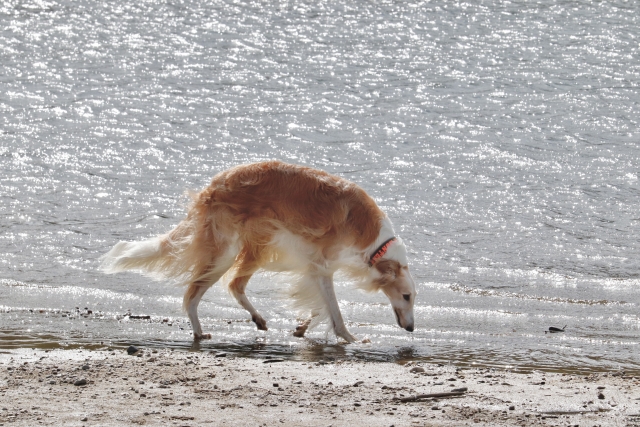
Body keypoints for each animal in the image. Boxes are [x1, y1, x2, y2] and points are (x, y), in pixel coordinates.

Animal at [100, 161, 416, 344]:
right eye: (407, 296)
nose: (412, 329)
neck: (375, 240)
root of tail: (213, 185)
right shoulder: (321, 266)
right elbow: (335, 312)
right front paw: (350, 338)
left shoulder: (315, 268)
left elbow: (319, 307)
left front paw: (302, 328)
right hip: (226, 252)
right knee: (193, 293)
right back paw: (200, 331)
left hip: (258, 246)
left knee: (234, 284)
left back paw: (258, 319)